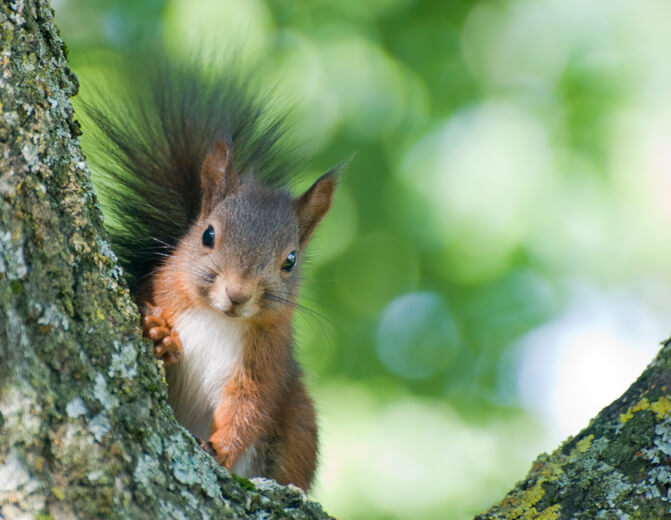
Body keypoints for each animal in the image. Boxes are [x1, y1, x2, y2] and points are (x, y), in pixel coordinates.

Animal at [83, 54, 342, 490]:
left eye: (290, 260)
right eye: (207, 234)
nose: (237, 294)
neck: (216, 318)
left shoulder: (265, 362)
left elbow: (248, 408)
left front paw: (221, 448)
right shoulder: (157, 289)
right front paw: (159, 334)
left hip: (299, 420)